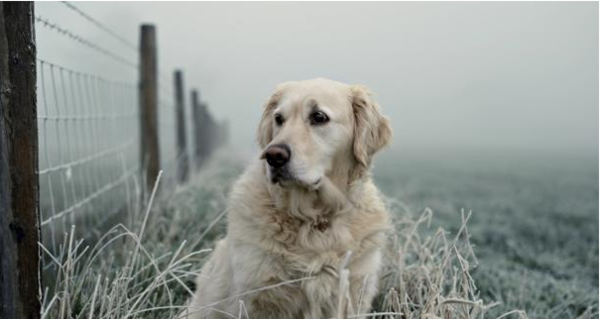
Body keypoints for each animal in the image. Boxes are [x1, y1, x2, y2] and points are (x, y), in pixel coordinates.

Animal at [185, 78, 392, 319]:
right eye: (279, 119)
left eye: (319, 117)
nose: (273, 156)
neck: (315, 220)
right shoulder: (257, 298)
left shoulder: (353, 290)